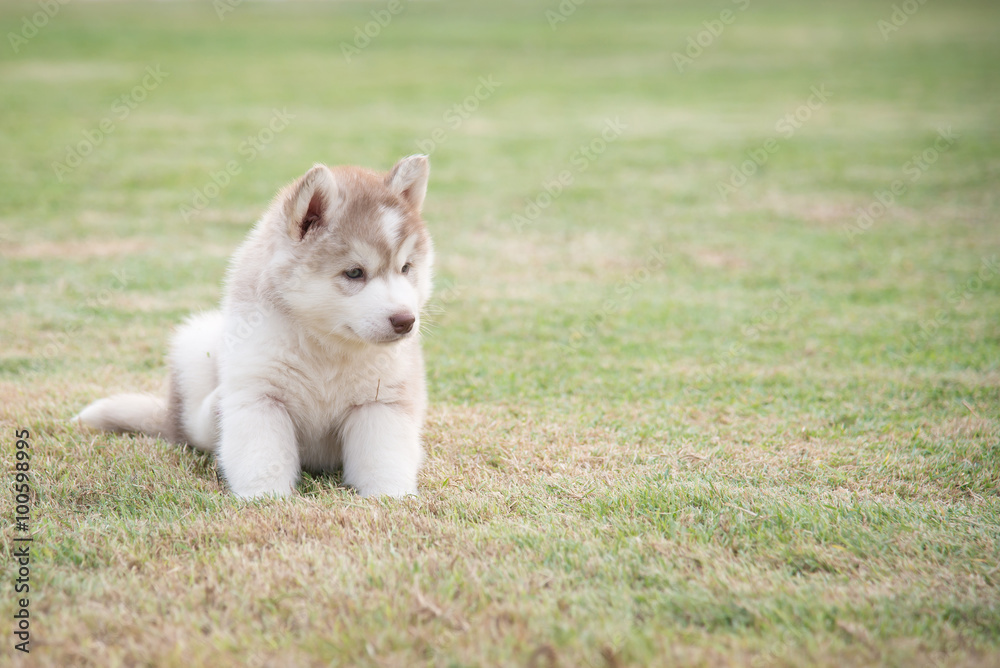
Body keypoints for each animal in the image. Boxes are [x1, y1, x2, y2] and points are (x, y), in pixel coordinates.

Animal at [76, 157, 436, 498]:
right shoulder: (260, 398)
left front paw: (391, 498)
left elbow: (383, 458)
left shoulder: (382, 401)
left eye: (406, 268)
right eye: (354, 273)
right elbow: (261, 457)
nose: (405, 321)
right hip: (198, 346)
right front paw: (264, 499)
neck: (325, 346)